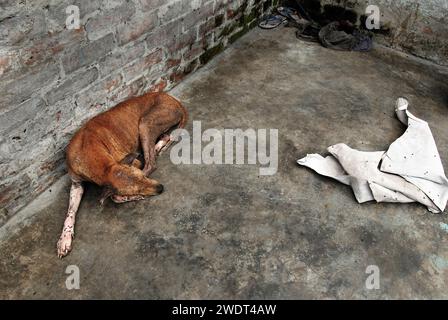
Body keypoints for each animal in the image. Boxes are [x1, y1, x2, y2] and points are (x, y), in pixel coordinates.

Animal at [57, 91, 187, 256]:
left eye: (143, 178)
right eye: (138, 189)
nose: (161, 188)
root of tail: (174, 100)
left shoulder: (134, 162)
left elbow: (114, 196)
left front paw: (125, 197)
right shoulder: (76, 183)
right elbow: (70, 212)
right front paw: (65, 238)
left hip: (146, 123)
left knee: (151, 162)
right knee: (165, 138)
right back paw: (159, 145)